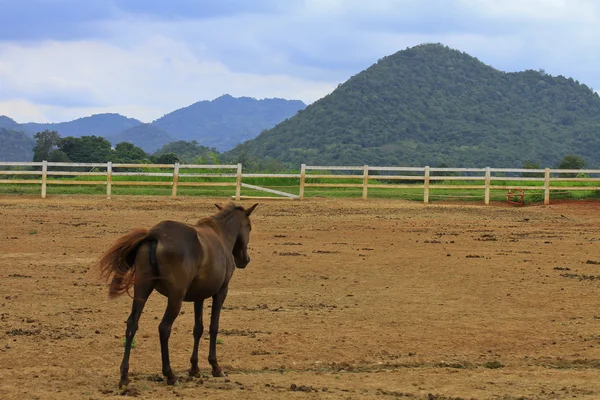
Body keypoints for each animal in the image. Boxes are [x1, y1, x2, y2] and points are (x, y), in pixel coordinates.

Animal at [96, 203, 258, 388]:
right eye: (249, 227)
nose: (245, 260)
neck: (221, 236)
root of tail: (157, 234)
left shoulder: (199, 296)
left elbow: (198, 328)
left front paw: (194, 368)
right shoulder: (221, 292)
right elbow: (213, 327)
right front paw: (215, 367)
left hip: (142, 290)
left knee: (132, 324)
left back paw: (124, 376)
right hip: (175, 298)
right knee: (164, 328)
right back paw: (170, 374)